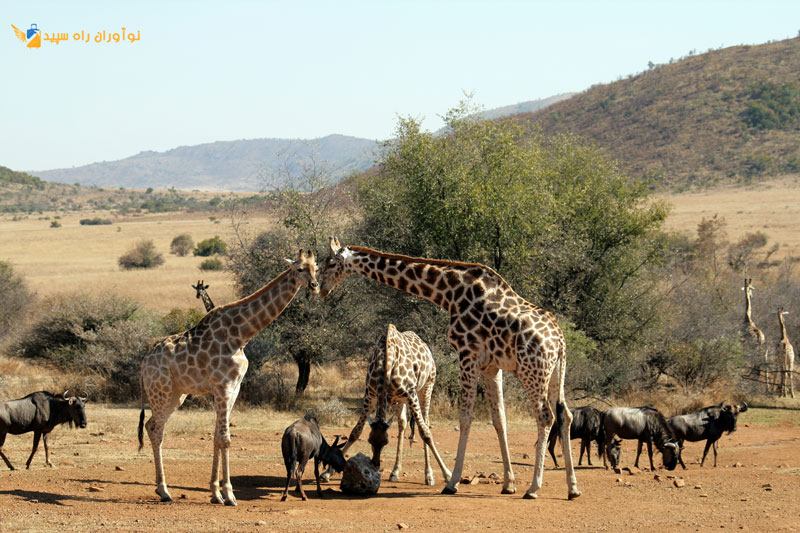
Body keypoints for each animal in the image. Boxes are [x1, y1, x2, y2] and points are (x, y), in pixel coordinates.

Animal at [139, 248, 318, 502]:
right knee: (155, 429)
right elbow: (225, 438)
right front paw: (230, 495)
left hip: (177, 394)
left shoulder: (234, 387)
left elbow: (216, 437)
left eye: (316, 268)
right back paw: (164, 490)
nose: (314, 285)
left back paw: (162, 489)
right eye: (299, 268)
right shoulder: (222, 386)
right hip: (160, 391)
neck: (241, 334)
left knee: (152, 426)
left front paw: (216, 492)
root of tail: (144, 361)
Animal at [322, 322, 454, 484]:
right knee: (403, 423)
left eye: (385, 442)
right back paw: (395, 472)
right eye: (370, 440)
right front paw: (328, 472)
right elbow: (355, 432)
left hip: (427, 386)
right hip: (399, 400)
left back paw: (428, 475)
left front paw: (447, 475)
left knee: (426, 422)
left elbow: (425, 433)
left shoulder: (411, 394)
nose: (375, 464)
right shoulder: (370, 395)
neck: (386, 364)